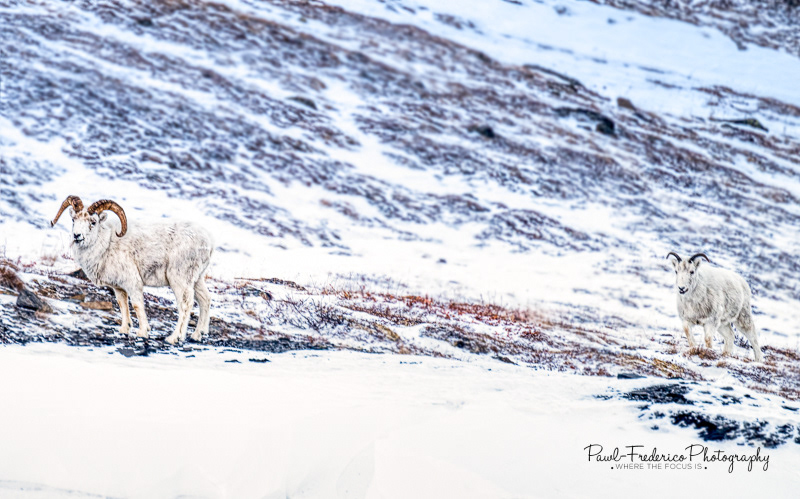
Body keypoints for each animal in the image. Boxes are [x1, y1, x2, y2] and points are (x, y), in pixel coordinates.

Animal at [51, 195, 214, 345]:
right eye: (74, 220)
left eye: (93, 222)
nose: (77, 235)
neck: (106, 244)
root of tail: (209, 242)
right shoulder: (118, 288)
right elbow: (122, 304)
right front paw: (124, 330)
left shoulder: (133, 283)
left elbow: (136, 305)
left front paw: (143, 333)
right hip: (196, 279)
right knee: (205, 300)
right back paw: (197, 335)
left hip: (179, 279)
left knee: (185, 305)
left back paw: (174, 338)